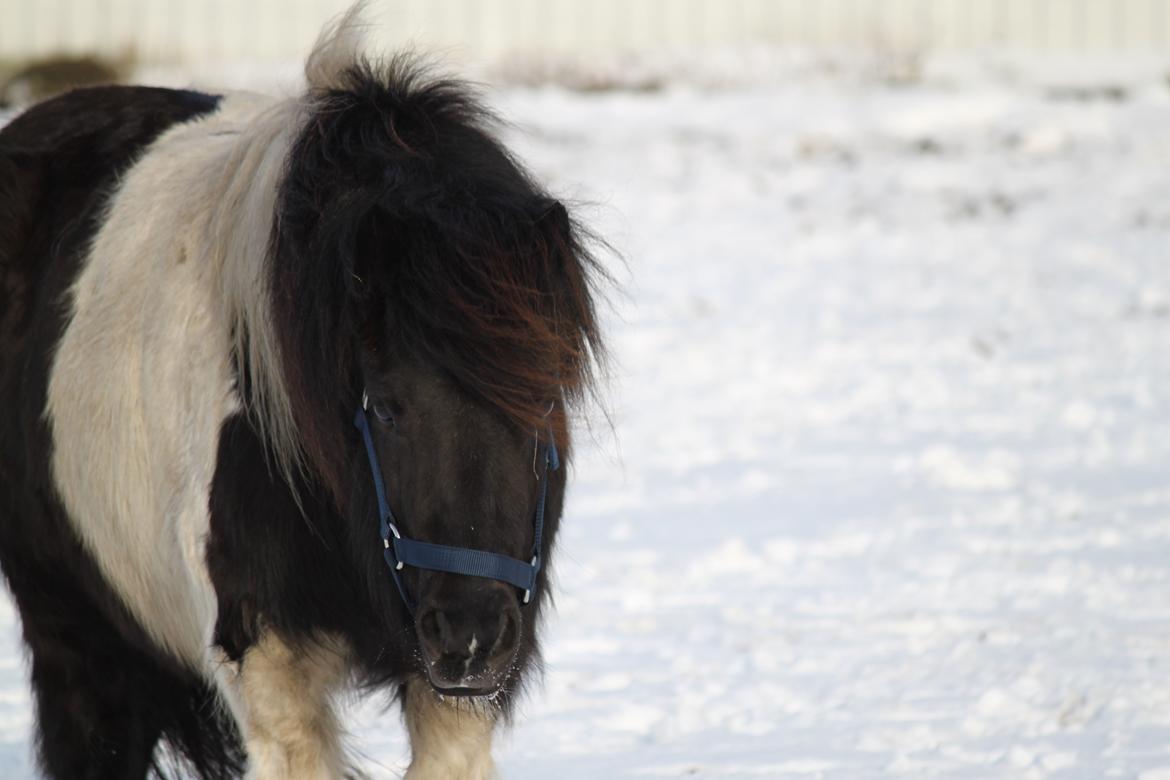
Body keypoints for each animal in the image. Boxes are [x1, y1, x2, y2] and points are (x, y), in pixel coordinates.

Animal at [0, 12, 603, 780]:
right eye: (386, 407)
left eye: (543, 406)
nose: (469, 635)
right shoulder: (270, 672)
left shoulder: (455, 697)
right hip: (73, 630)